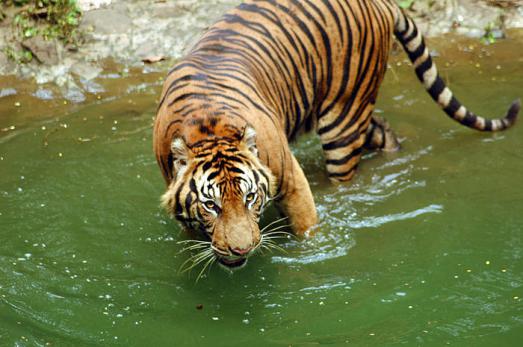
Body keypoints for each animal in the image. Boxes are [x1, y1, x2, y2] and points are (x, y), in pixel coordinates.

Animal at [152, 0, 520, 272]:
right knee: (383, 132)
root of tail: (381, 3)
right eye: (211, 206)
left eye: (250, 197)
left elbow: (306, 226)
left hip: (343, 118)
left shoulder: (290, 176)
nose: (243, 248)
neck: (208, 127)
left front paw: (312, 254)